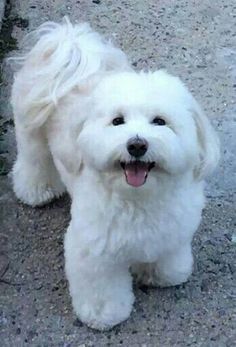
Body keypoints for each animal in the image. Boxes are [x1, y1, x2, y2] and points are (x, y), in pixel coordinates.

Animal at [11, 17, 219, 332]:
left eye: (160, 121)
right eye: (117, 121)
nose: (137, 144)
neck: (139, 199)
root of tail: (67, 41)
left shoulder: (172, 234)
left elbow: (169, 261)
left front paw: (162, 274)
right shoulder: (93, 252)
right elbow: (101, 290)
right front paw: (103, 314)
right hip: (30, 133)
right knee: (34, 161)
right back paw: (37, 190)